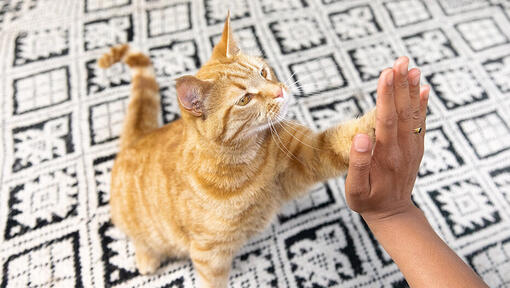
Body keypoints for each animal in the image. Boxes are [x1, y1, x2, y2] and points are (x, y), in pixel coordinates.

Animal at [100, 13, 374, 288]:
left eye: (263, 72)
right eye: (244, 99)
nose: (279, 91)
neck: (247, 160)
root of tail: (139, 137)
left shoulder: (306, 154)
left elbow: (346, 139)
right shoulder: (209, 255)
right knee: (140, 238)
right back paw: (146, 258)